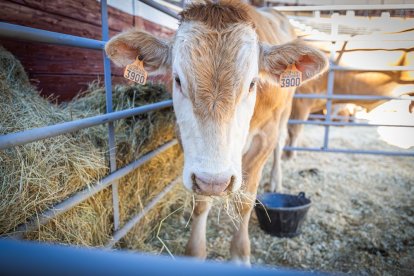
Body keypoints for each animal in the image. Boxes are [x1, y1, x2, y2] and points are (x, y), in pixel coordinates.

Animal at [105, 0, 328, 266]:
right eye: (178, 80)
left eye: (252, 83)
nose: (215, 182)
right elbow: (200, 204)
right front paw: (195, 251)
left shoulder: (264, 137)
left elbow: (245, 201)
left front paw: (240, 254)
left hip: (285, 111)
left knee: (281, 142)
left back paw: (275, 179)